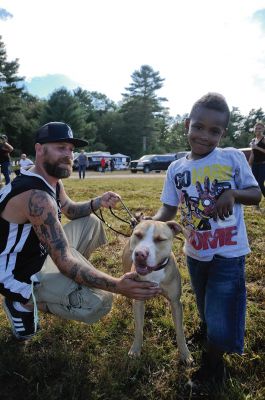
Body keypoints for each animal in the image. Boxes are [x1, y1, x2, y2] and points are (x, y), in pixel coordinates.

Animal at [121, 219, 192, 366]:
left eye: (160, 239)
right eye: (138, 235)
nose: (140, 254)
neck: (154, 271)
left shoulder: (176, 303)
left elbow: (180, 331)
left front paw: (185, 354)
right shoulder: (138, 300)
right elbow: (138, 328)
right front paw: (135, 349)